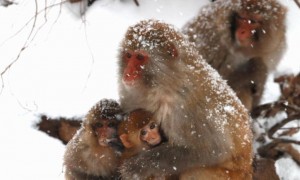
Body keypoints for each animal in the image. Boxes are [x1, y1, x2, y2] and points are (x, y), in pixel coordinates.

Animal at [117, 19, 253, 180]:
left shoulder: (191, 111)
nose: (127, 73)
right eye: (128, 55)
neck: (166, 84)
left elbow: (215, 150)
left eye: (139, 57)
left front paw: (140, 165)